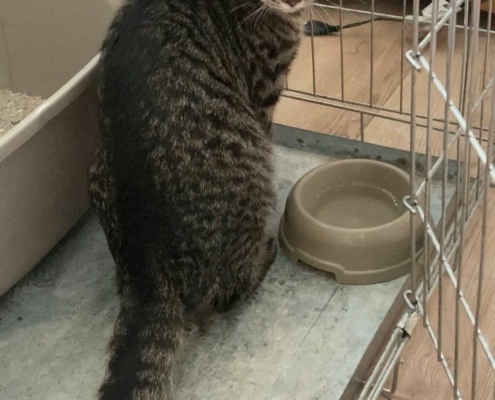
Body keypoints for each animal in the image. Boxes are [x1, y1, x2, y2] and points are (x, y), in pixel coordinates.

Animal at [89, 0, 313, 398]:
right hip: (253, 172)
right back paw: (263, 257)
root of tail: (149, 272)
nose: (290, 4)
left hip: (97, 172)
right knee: (228, 292)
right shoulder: (263, 96)